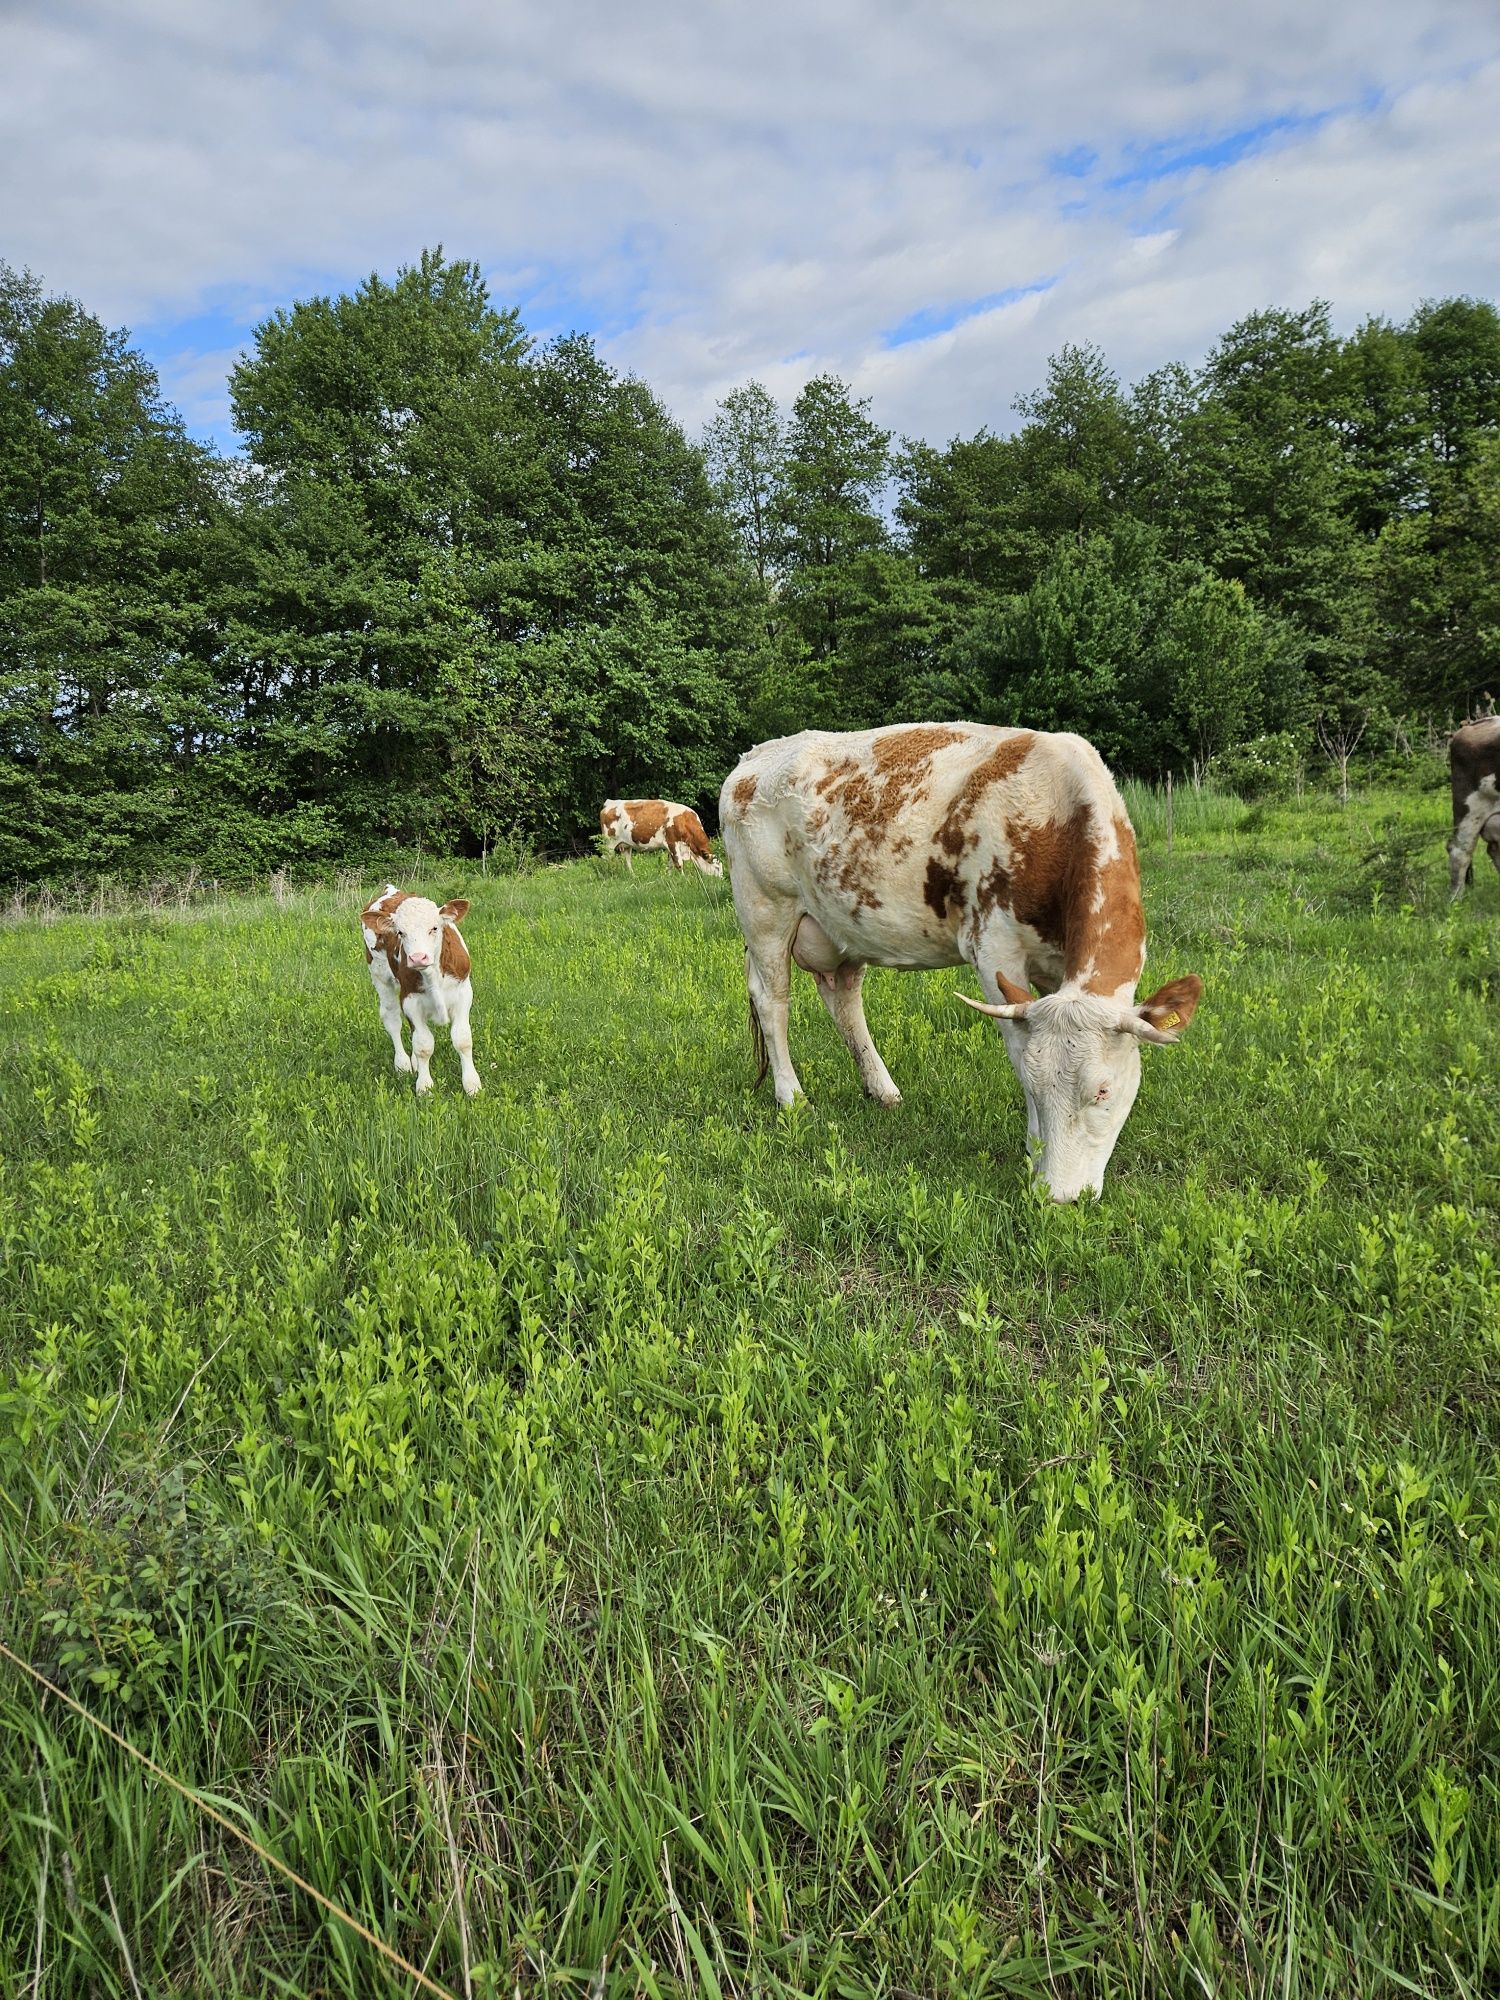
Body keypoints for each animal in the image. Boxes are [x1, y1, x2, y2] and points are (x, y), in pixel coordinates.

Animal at [360, 884, 482, 1096]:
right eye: (400, 932)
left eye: (434, 928)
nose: (418, 957)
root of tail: (390, 889)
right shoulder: (410, 1000)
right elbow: (423, 1045)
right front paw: (424, 1087)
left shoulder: (463, 993)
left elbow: (463, 1039)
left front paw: (472, 1085)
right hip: (380, 976)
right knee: (392, 1019)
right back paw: (402, 1064)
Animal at [724, 724, 1208, 1200]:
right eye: (1033, 1085)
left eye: (1103, 1091)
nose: (1058, 1196)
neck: (1055, 817)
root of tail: (755, 756)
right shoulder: (994, 948)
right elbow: (1016, 1046)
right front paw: (1033, 1150)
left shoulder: (1057, 967)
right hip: (765, 910)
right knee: (773, 1002)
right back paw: (792, 1097)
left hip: (839, 923)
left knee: (843, 998)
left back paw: (883, 1091)